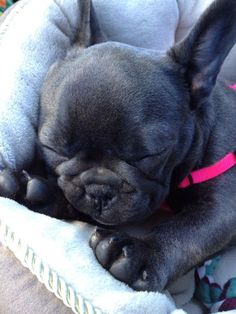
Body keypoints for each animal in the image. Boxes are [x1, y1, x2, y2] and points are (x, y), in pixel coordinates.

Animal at [1, 0, 236, 292]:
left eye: (149, 154)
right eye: (53, 148)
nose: (100, 190)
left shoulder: (223, 207)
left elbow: (191, 231)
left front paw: (143, 252)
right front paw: (37, 190)